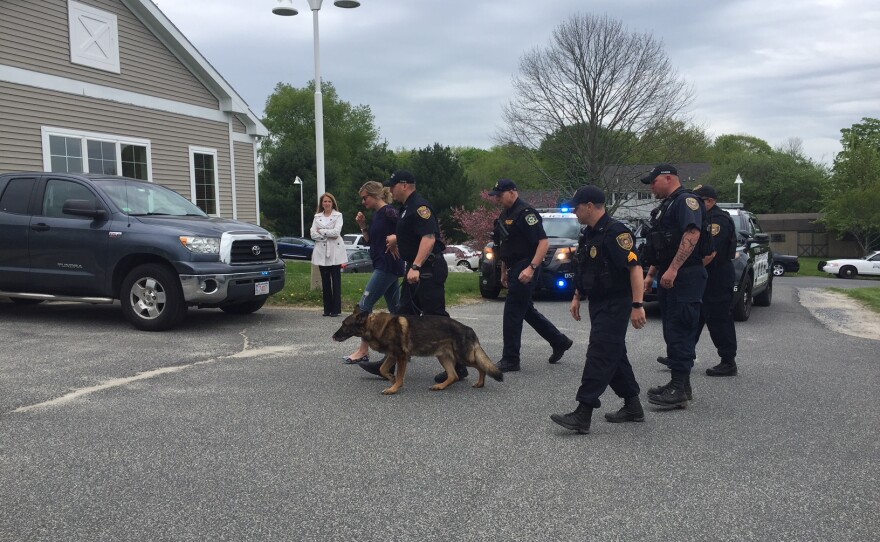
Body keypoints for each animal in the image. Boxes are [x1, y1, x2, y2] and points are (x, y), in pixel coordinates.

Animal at [330, 310, 502, 396]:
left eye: (344, 325)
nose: (333, 336)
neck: (373, 326)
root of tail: (469, 329)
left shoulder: (401, 357)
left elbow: (400, 376)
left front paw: (394, 388)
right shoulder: (392, 355)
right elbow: (382, 369)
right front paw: (391, 378)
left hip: (463, 356)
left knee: (481, 367)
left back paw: (480, 383)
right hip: (443, 357)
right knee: (454, 376)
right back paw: (440, 387)